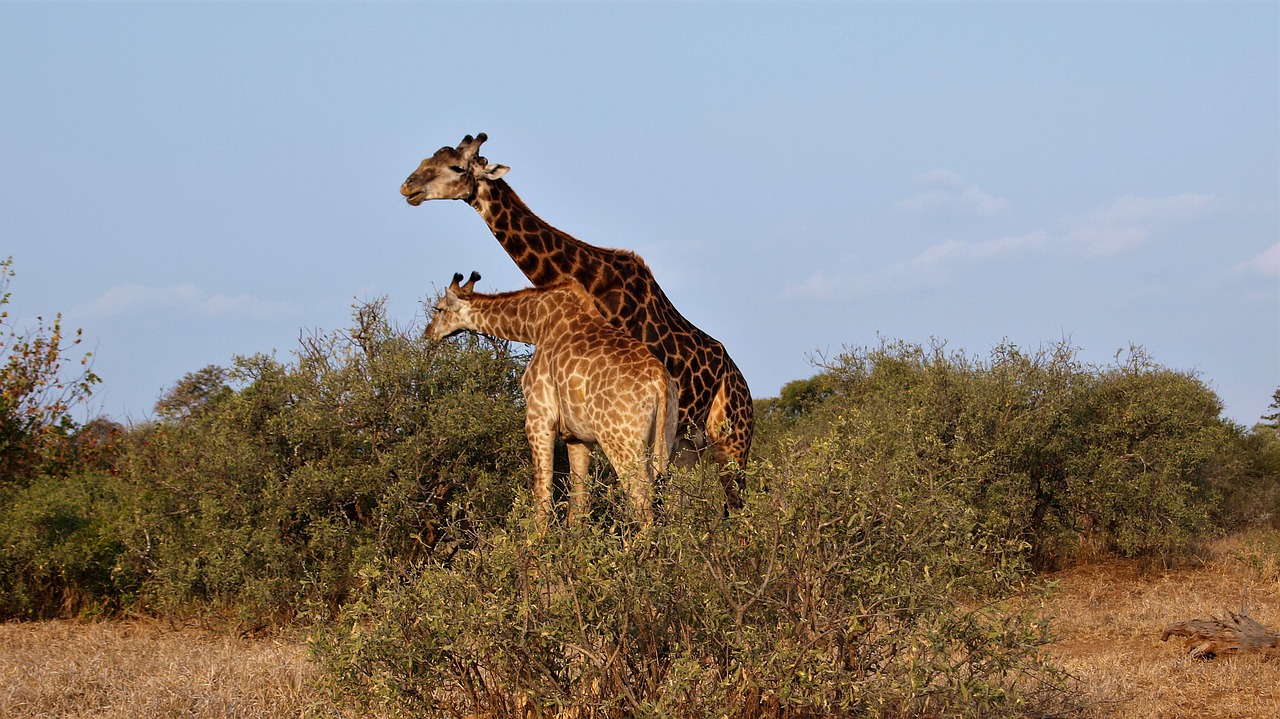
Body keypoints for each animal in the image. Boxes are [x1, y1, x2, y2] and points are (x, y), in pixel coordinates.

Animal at [422, 269, 680, 527]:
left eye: (438, 309)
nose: (428, 334)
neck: (535, 324)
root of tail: (659, 381)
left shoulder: (539, 418)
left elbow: (543, 499)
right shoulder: (577, 436)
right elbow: (578, 504)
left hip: (621, 441)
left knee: (642, 503)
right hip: (665, 440)